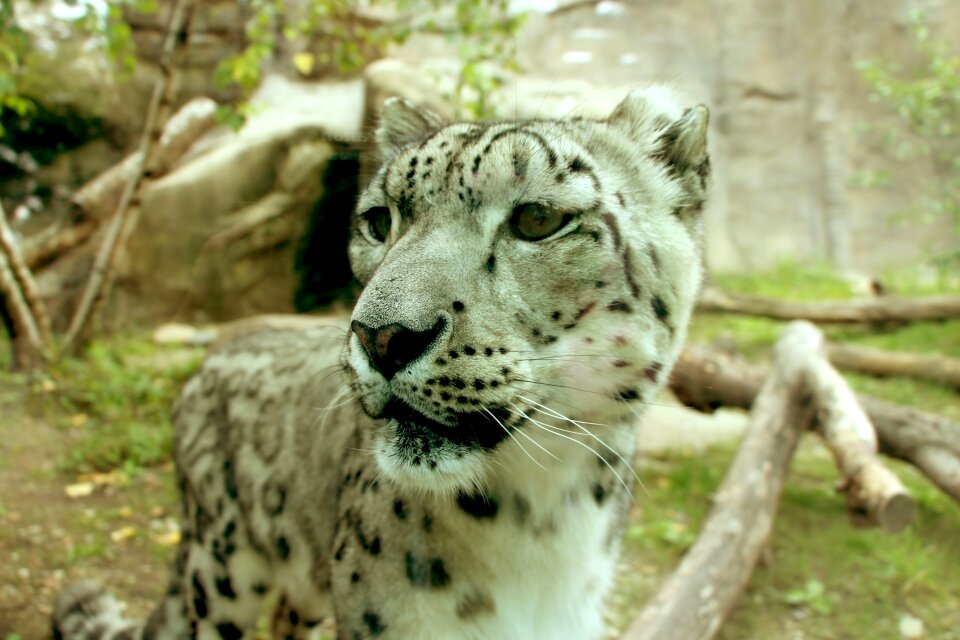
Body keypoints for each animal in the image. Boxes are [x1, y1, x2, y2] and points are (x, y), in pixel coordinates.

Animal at [54, 89, 712, 640]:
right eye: (378, 220)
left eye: (539, 220)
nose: (382, 337)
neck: (543, 518)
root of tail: (204, 368)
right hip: (219, 569)